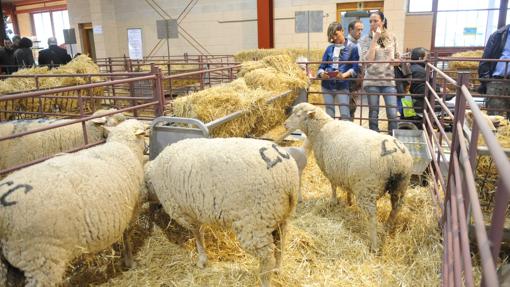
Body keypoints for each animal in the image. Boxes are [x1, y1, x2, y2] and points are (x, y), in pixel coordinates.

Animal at [0, 118, 147, 286]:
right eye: (144, 133)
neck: (124, 146)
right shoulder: (132, 208)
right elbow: (127, 237)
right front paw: (130, 262)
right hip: (40, 257)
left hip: (12, 256)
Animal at [143, 138, 300, 287]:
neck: (154, 176)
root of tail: (288, 177)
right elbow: (199, 232)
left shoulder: (186, 213)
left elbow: (197, 234)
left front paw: (202, 259)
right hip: (280, 216)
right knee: (281, 244)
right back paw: (278, 269)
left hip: (255, 222)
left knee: (267, 258)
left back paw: (266, 280)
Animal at [284, 103, 412, 252]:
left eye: (298, 115)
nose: (285, 124)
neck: (321, 127)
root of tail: (394, 157)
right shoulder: (345, 173)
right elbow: (346, 188)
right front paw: (349, 200)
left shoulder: (329, 168)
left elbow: (333, 186)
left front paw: (333, 201)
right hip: (401, 185)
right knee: (396, 207)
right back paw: (387, 227)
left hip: (367, 188)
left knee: (372, 217)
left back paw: (373, 245)